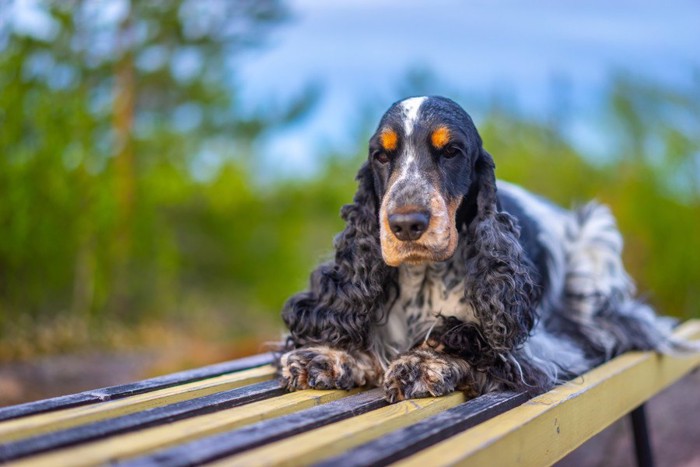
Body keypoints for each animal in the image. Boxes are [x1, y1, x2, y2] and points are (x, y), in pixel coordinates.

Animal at [276, 95, 688, 402]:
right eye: (381, 155)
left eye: (451, 151)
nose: (406, 224)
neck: (425, 278)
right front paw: (327, 355)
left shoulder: (536, 349)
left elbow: (469, 338)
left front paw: (423, 362)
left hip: (596, 239)